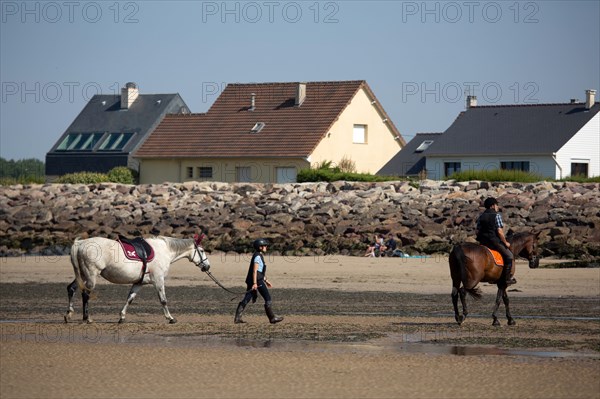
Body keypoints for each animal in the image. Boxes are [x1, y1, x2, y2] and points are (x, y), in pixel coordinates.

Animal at [64, 234, 210, 324]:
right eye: (202, 251)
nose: (207, 266)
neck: (164, 251)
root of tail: (80, 243)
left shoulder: (139, 283)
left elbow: (130, 298)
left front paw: (122, 317)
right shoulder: (158, 280)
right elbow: (163, 300)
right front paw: (170, 318)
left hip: (82, 275)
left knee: (71, 288)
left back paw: (68, 315)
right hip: (91, 276)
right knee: (85, 294)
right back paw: (87, 318)